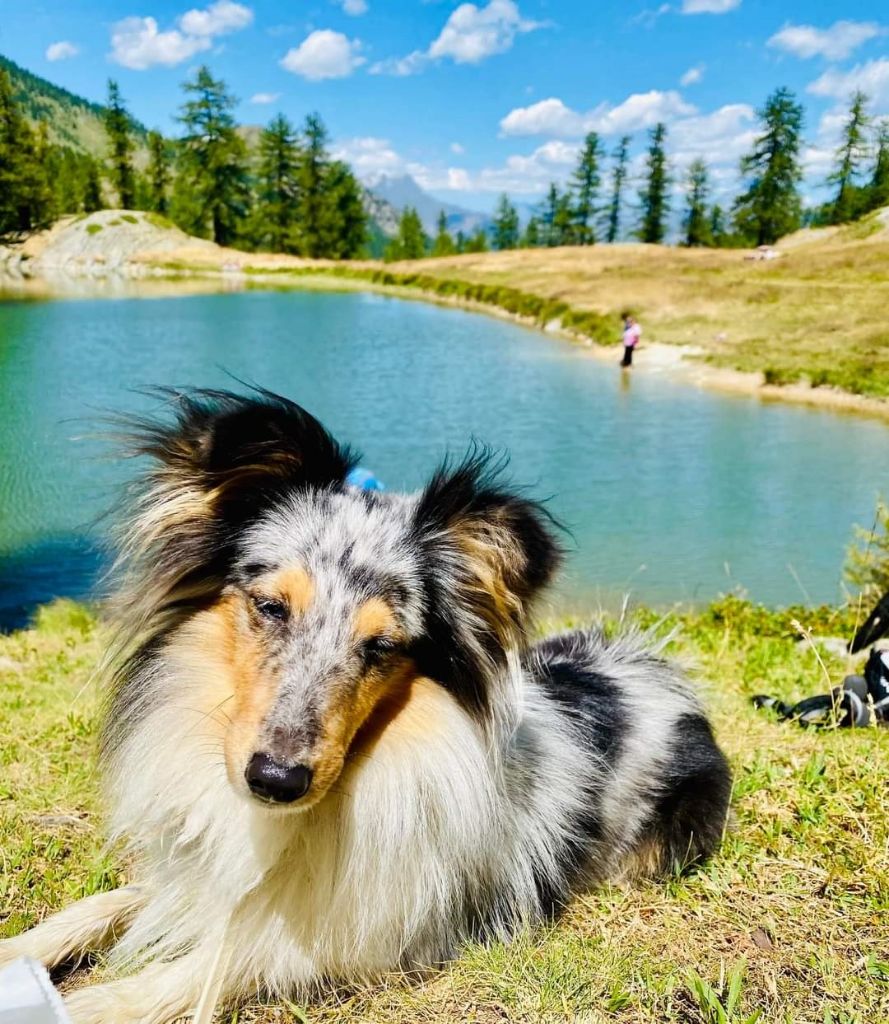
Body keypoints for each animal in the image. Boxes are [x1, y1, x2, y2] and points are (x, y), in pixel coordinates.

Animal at [0, 387, 729, 1019]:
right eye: (271, 607)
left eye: (382, 645)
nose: (276, 781)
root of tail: (651, 667)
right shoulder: (202, 867)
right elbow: (106, 903)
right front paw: (19, 951)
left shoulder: (365, 931)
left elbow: (212, 962)